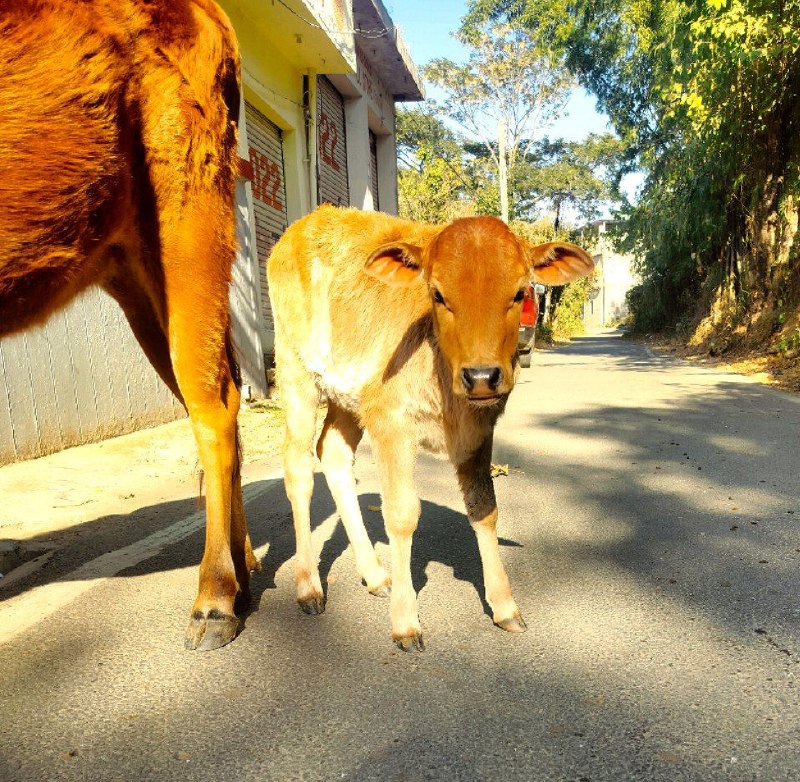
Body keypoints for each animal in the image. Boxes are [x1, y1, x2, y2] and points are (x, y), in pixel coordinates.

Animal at [268, 205, 592, 652]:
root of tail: (305, 223)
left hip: (347, 398)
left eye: (519, 291)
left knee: (332, 453)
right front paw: (406, 622)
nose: (481, 376)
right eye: (437, 294)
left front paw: (504, 606)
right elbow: (402, 514)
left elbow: (485, 509)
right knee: (298, 466)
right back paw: (309, 588)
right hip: (296, 373)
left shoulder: (479, 430)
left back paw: (375, 575)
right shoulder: (390, 421)